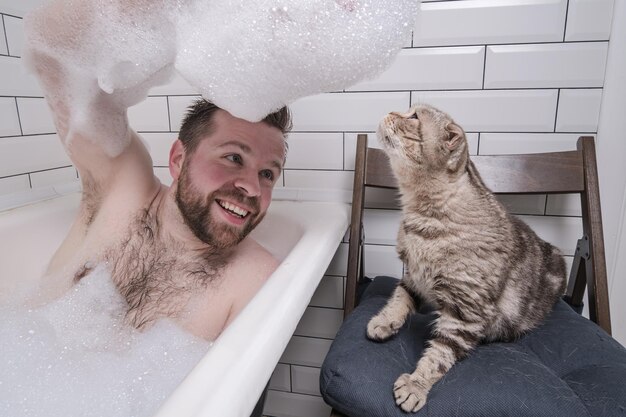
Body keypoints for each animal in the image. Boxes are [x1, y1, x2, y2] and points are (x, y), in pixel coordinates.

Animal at [366, 105, 564, 412]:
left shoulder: (464, 311)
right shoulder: (413, 277)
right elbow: (398, 300)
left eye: (414, 117)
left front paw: (416, 384)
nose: (390, 110)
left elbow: (439, 355)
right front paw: (384, 322)